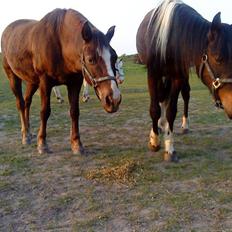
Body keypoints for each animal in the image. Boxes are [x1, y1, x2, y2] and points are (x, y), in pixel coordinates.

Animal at [1, 8, 121, 154]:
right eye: (91, 59)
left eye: (114, 57)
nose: (114, 99)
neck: (60, 43)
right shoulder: (45, 82)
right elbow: (45, 111)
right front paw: (42, 144)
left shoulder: (75, 82)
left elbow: (74, 111)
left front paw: (76, 144)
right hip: (13, 77)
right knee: (20, 103)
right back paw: (25, 136)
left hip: (32, 81)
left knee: (27, 102)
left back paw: (29, 132)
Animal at [137, 0, 232, 161]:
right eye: (218, 58)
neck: (169, 40)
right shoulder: (153, 74)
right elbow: (154, 109)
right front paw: (154, 141)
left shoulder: (178, 76)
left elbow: (171, 110)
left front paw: (169, 148)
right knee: (161, 97)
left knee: (183, 95)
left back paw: (181, 125)